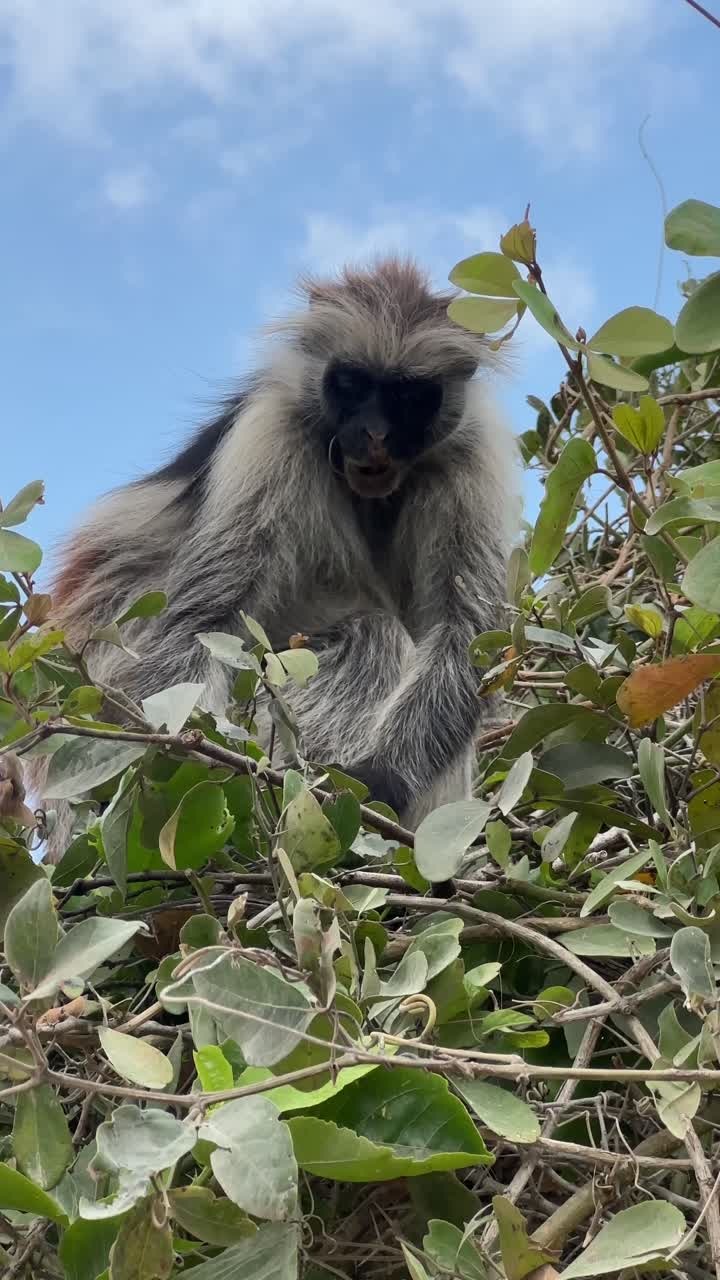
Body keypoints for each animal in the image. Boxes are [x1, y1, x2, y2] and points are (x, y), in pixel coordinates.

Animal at [33, 258, 518, 866]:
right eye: (352, 384)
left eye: (408, 397)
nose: (374, 435)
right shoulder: (273, 432)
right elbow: (202, 623)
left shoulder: (468, 457)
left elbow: (466, 636)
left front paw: (382, 779)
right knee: (373, 634)